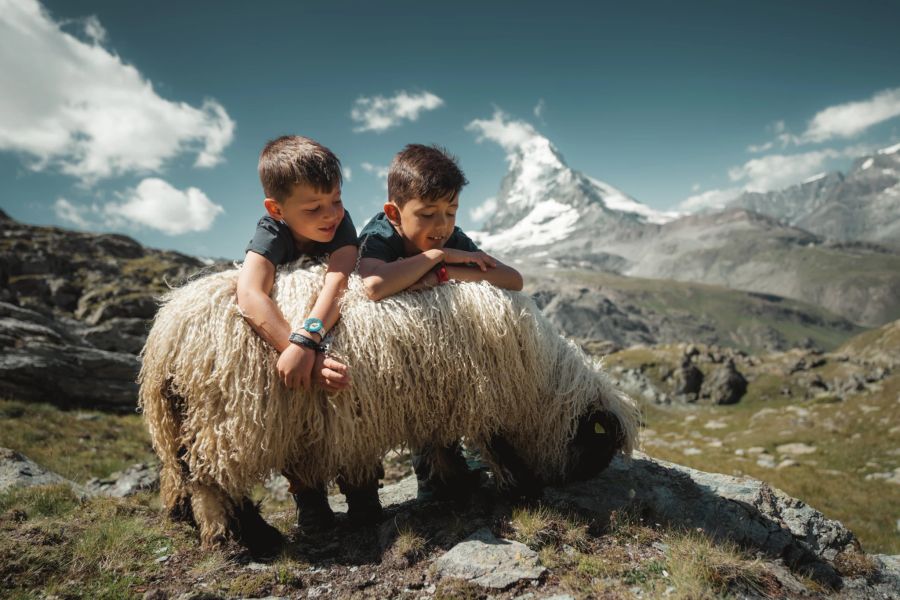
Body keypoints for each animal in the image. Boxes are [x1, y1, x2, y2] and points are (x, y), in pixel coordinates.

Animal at [139, 264, 640, 552]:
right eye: (597, 440)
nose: (591, 475)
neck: (540, 382)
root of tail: (169, 332)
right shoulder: (489, 398)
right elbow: (498, 447)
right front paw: (519, 487)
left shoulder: (444, 399)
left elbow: (442, 445)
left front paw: (456, 483)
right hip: (229, 418)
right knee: (213, 481)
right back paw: (244, 537)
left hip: (189, 419)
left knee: (186, 472)